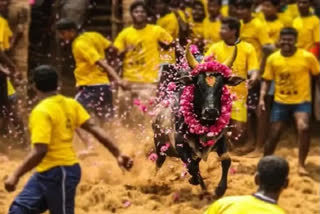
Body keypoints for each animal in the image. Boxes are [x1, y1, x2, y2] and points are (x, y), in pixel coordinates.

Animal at [151, 46, 242, 198]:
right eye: (198, 84)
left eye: (221, 85)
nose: (211, 111)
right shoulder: (181, 145)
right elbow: (192, 167)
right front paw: (203, 188)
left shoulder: (220, 140)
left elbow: (226, 160)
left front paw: (220, 189)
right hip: (160, 146)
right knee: (159, 163)